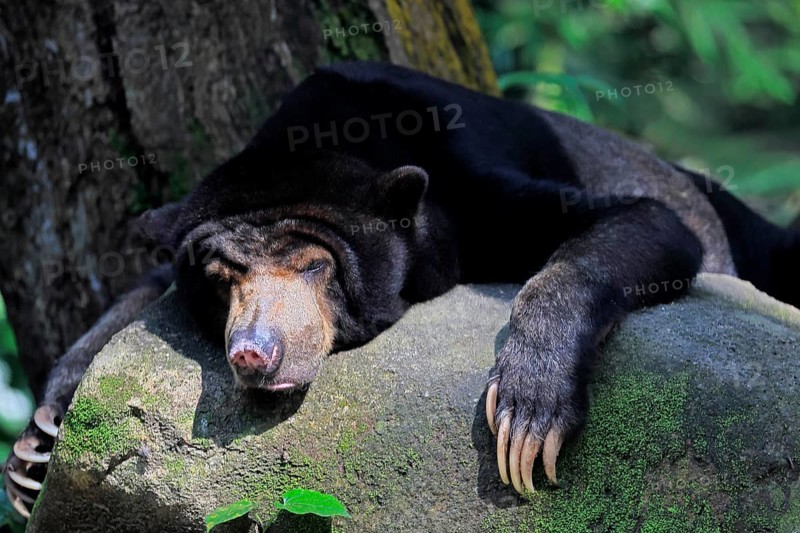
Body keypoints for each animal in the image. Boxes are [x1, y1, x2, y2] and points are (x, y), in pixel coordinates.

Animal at [6, 61, 800, 517]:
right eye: (222, 276)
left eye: (315, 265)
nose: (254, 353)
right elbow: (132, 294)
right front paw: (34, 454)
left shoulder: (471, 180)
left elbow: (633, 223)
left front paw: (526, 416)